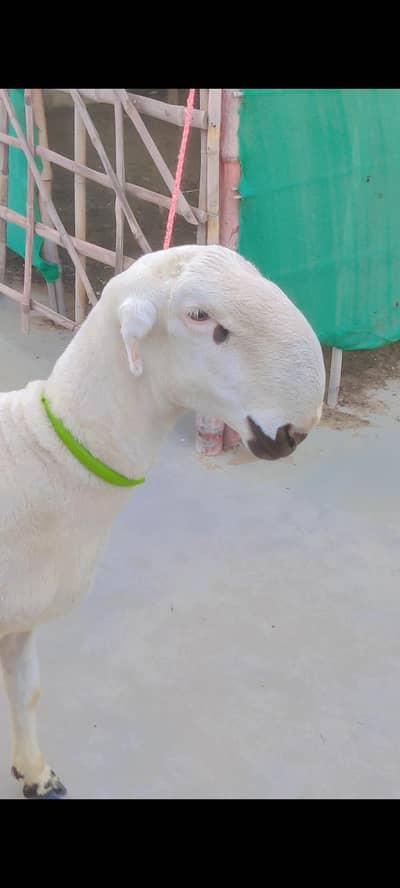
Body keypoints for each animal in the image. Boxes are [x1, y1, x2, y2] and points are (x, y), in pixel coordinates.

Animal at [0, 244, 325, 798]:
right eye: (198, 316)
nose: (297, 430)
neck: (44, 453)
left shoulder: (21, 620)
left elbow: (27, 692)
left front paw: (37, 774)